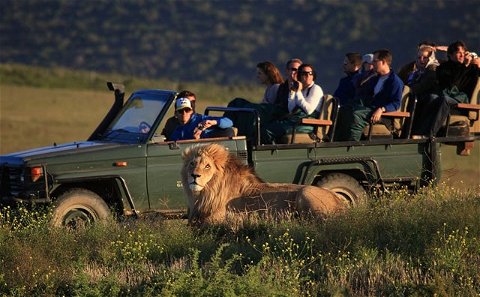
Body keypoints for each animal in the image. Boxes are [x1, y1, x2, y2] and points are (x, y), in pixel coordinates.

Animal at [181, 142, 344, 223]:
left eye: (207, 166)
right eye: (192, 164)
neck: (205, 193)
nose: (194, 175)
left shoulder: (216, 219)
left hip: (306, 192)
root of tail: (341, 202)